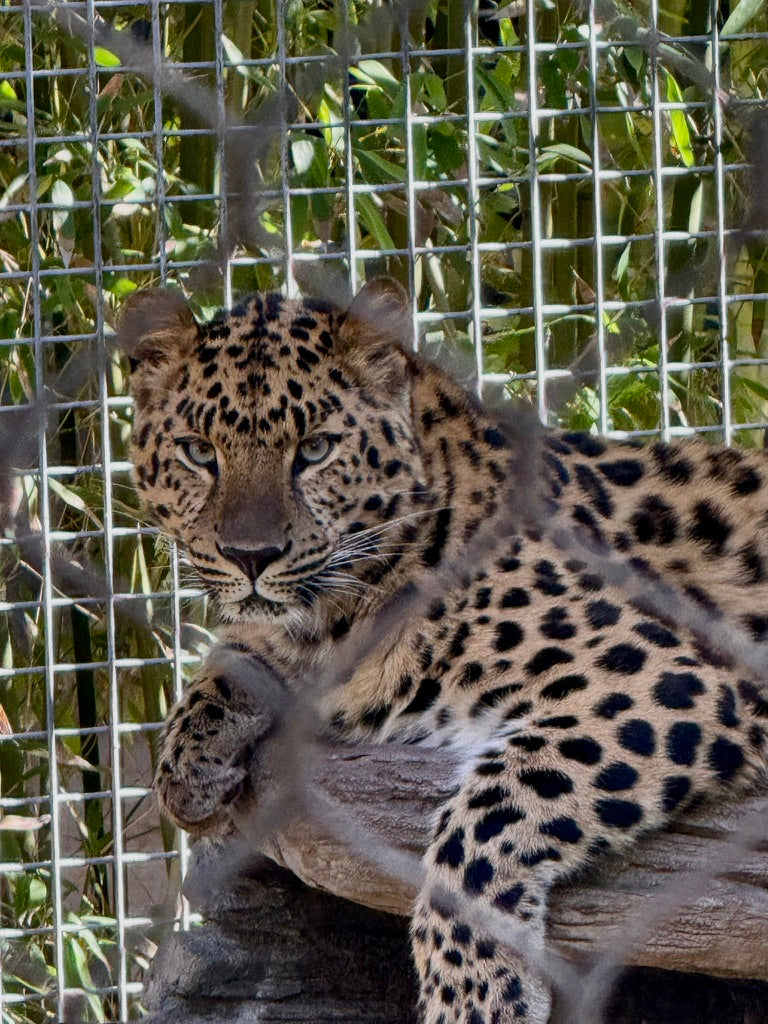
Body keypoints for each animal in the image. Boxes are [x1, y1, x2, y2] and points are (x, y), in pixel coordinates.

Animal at [119, 277, 768, 1024]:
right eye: (199, 451)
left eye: (315, 449)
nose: (251, 556)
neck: (338, 621)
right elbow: (231, 658)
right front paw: (187, 763)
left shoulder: (664, 679)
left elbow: (487, 816)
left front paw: (473, 993)